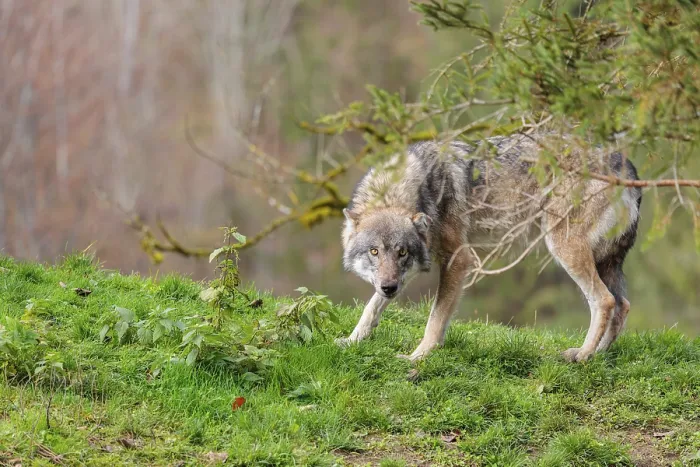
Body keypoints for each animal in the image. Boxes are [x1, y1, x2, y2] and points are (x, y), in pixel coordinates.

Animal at [338, 134, 642, 363]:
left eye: (402, 252)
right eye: (374, 252)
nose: (389, 287)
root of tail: (626, 165)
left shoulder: (458, 259)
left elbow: (435, 317)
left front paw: (419, 357)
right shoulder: (411, 268)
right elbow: (372, 306)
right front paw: (352, 339)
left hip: (563, 247)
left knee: (605, 300)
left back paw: (584, 354)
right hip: (604, 260)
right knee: (623, 304)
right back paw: (600, 354)